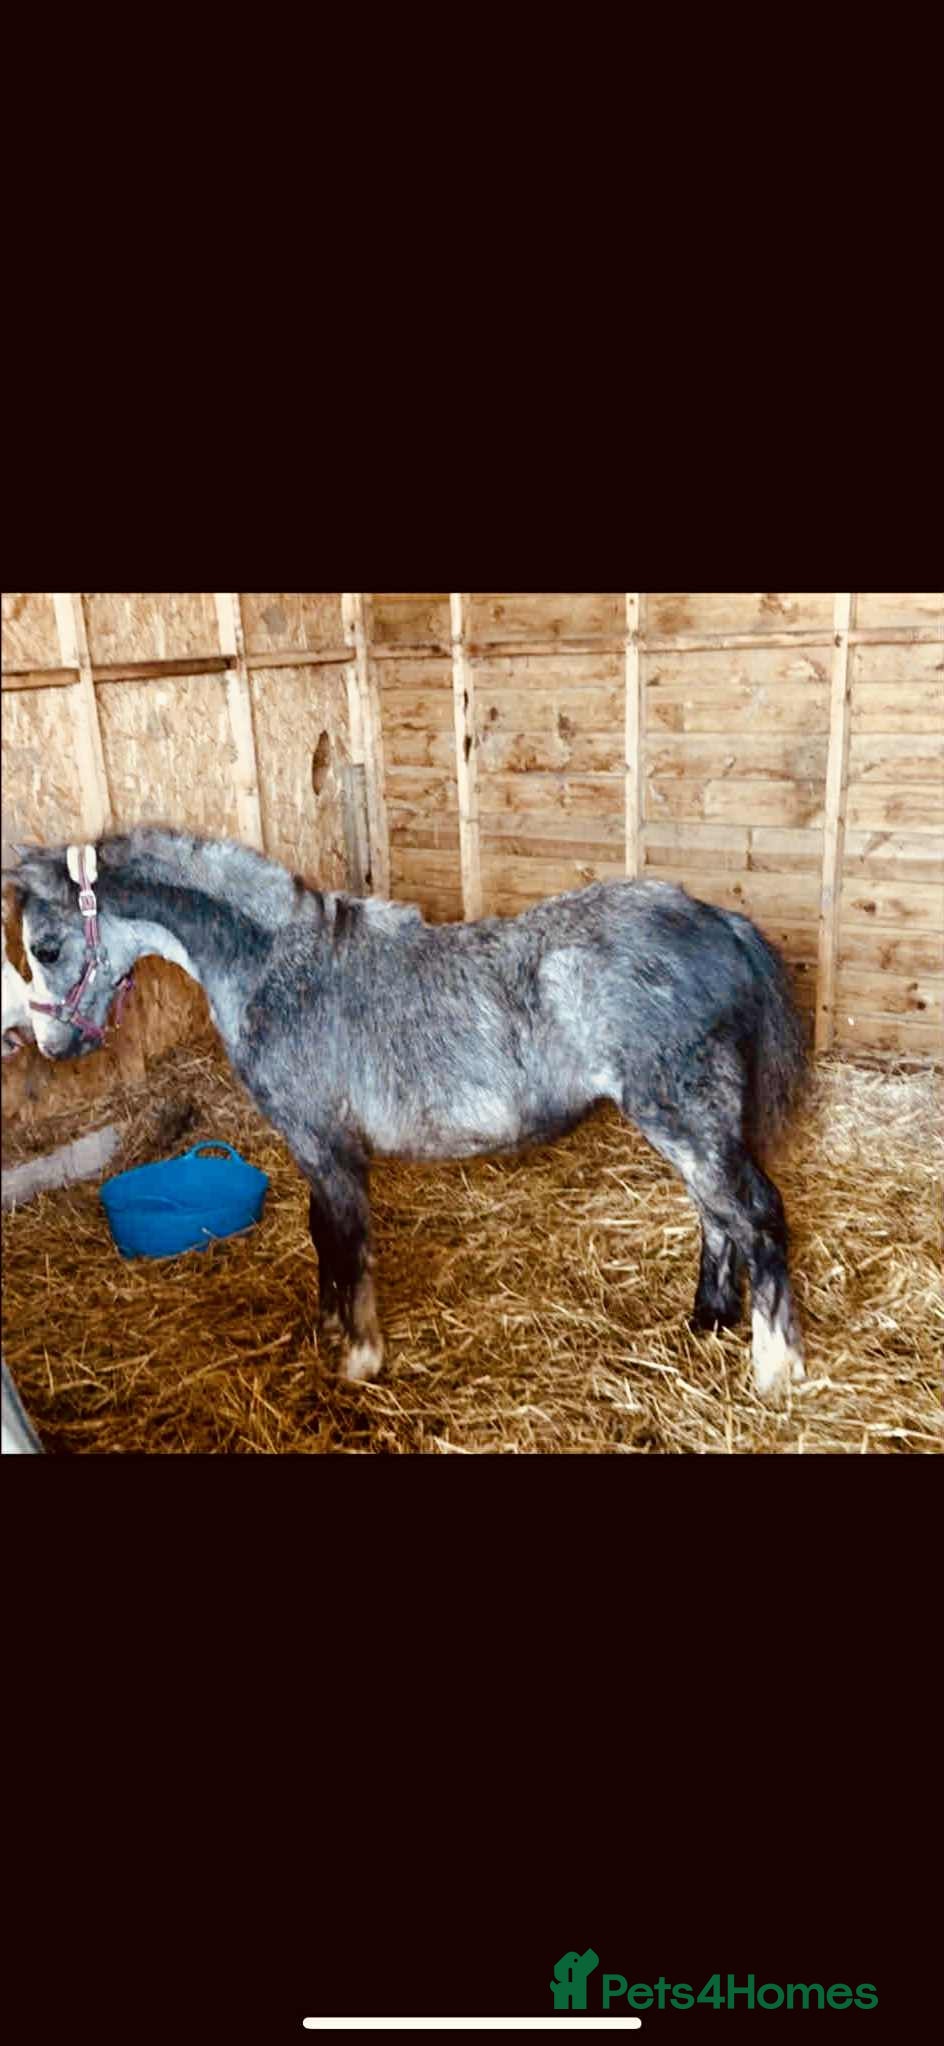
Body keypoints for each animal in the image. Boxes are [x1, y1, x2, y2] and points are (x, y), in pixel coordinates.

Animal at [5, 827, 808, 1398]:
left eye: (45, 946)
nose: (50, 1044)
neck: (277, 968)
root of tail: (717, 921)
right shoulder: (317, 1149)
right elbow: (323, 1238)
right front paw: (330, 1329)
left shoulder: (325, 1143)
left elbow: (347, 1242)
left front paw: (360, 1358)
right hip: (692, 1122)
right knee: (717, 1215)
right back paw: (708, 1320)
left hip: (684, 1114)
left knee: (755, 1214)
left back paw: (776, 1369)